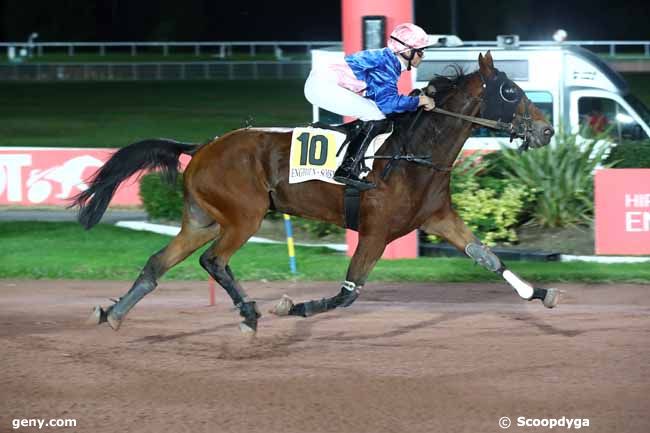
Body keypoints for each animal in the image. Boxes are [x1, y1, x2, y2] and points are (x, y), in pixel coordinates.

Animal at [73, 51, 556, 334]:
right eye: (510, 90)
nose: (547, 130)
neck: (414, 152)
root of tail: (203, 145)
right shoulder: (375, 231)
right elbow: (347, 293)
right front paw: (291, 308)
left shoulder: (439, 217)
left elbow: (487, 257)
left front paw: (540, 294)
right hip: (243, 217)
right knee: (214, 261)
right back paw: (250, 314)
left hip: (202, 219)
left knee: (158, 263)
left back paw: (114, 313)